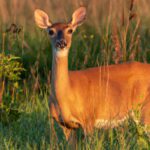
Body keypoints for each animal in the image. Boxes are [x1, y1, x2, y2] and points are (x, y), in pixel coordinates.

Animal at [34, 6, 150, 141]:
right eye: (51, 31)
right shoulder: (65, 125)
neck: (67, 93)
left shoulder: (88, 117)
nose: (62, 43)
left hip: (145, 110)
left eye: (70, 30)